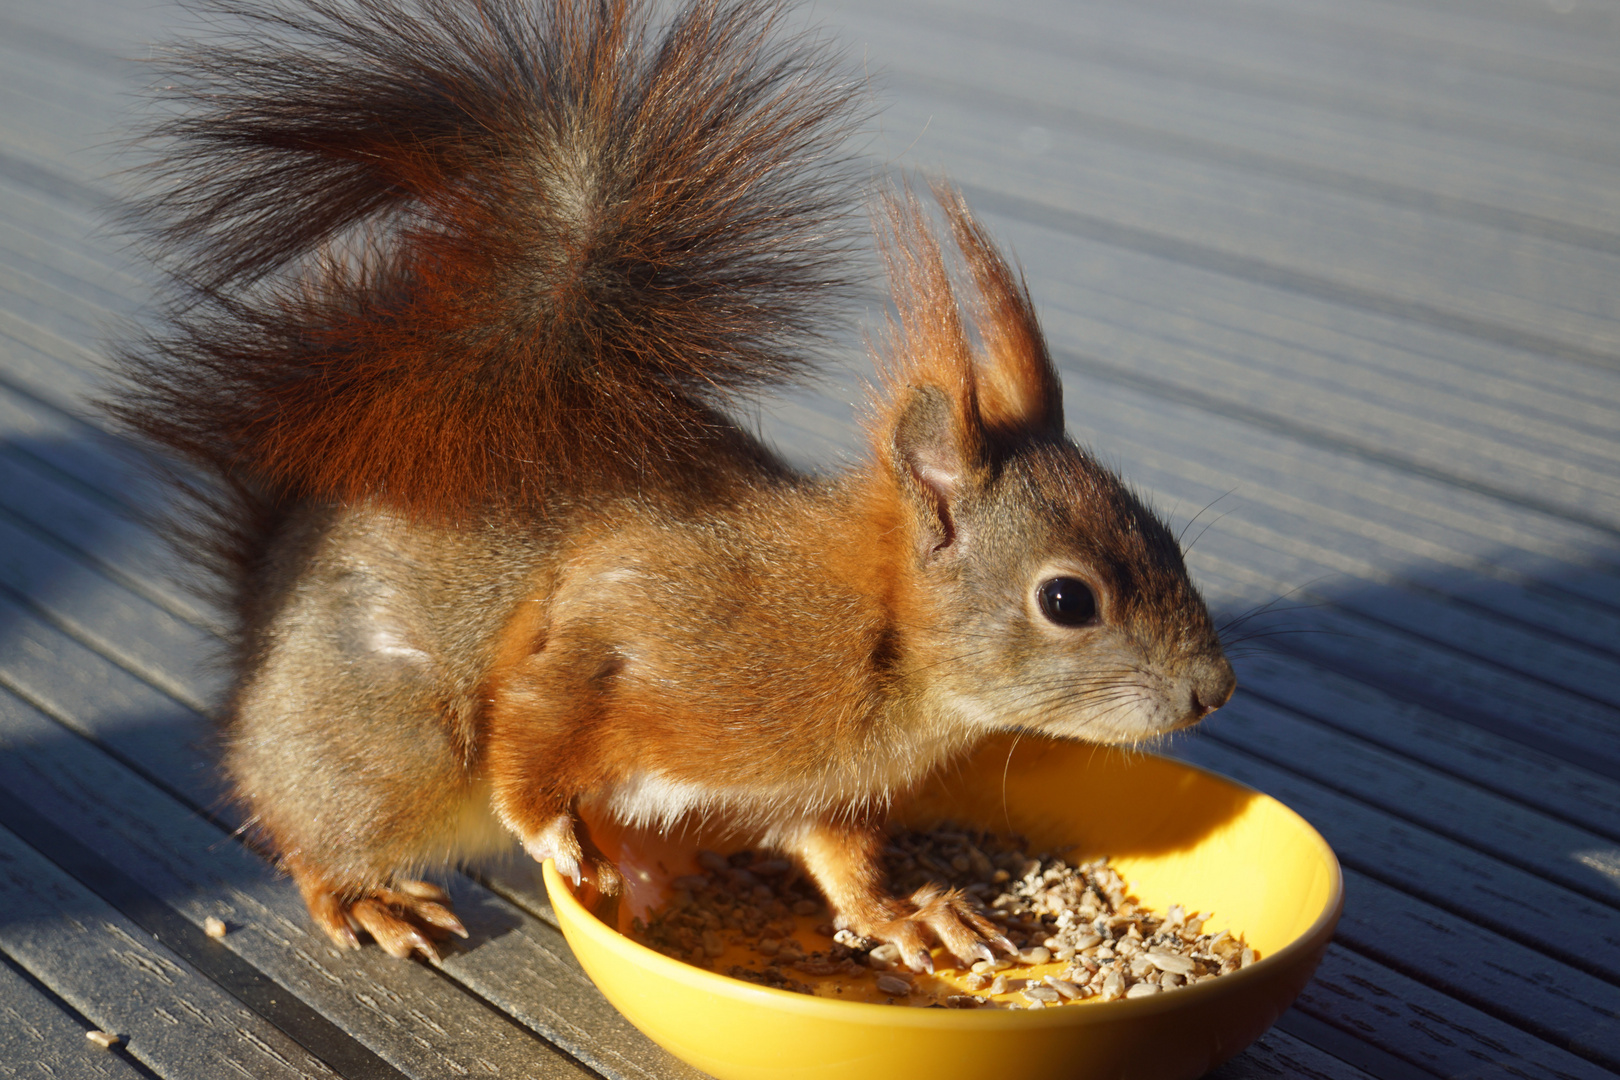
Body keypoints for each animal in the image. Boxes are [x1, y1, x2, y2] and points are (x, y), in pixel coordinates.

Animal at [114, 0, 1231, 971]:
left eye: (1171, 544)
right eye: (1068, 599)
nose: (1213, 691)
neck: (876, 634)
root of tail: (265, 600)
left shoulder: (810, 786)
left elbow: (837, 857)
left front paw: (912, 917)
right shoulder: (632, 619)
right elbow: (532, 720)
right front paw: (551, 833)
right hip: (387, 752)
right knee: (310, 823)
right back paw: (366, 895)